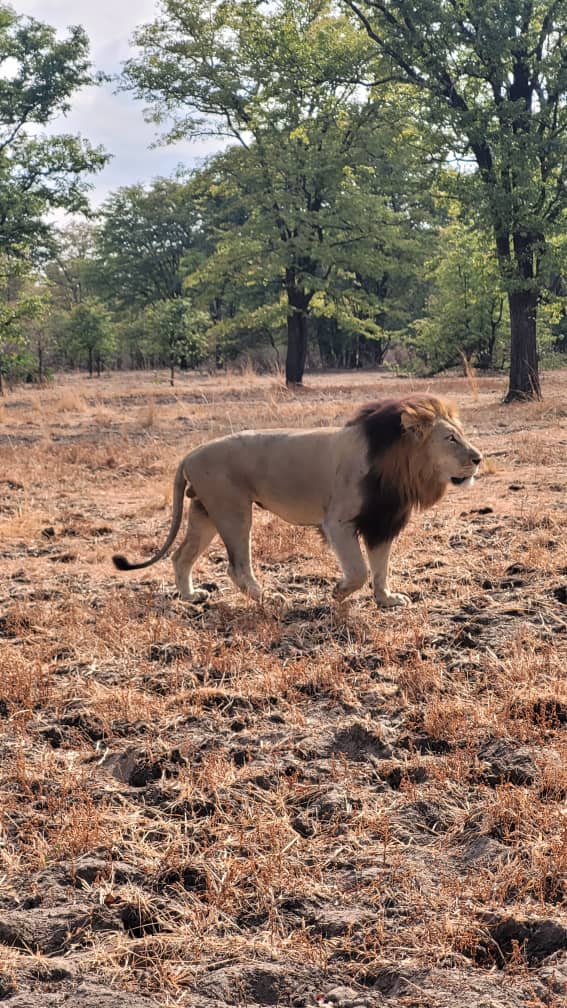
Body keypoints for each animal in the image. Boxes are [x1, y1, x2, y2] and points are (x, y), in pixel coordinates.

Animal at [113, 395, 482, 607]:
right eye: (451, 438)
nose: (479, 458)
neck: (401, 468)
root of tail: (189, 454)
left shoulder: (382, 521)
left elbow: (380, 568)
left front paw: (386, 599)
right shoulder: (338, 521)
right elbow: (359, 570)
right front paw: (339, 592)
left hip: (205, 512)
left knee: (181, 557)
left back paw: (191, 597)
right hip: (234, 510)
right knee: (236, 566)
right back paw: (270, 599)